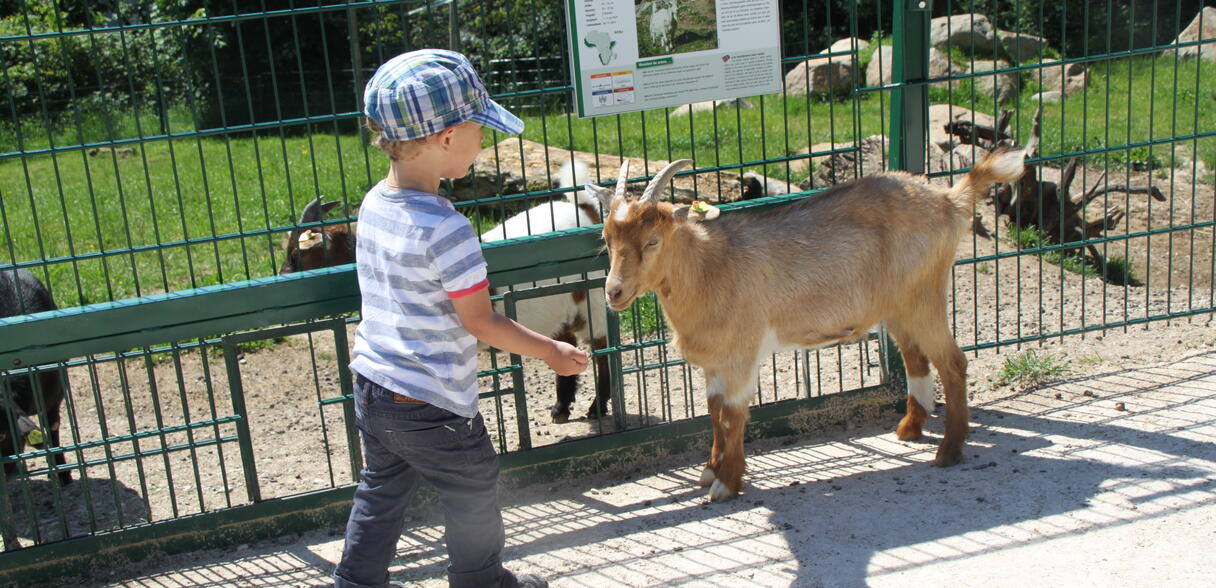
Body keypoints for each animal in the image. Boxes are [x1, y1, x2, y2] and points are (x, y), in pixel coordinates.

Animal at [584, 149, 1026, 501]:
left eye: (654, 240)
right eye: (606, 239)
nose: (614, 292)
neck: (709, 268)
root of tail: (949, 200)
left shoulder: (741, 355)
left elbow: (731, 416)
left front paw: (726, 484)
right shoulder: (715, 362)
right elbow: (712, 412)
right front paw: (710, 470)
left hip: (924, 297)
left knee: (953, 362)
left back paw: (948, 452)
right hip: (899, 308)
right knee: (917, 360)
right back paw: (909, 430)